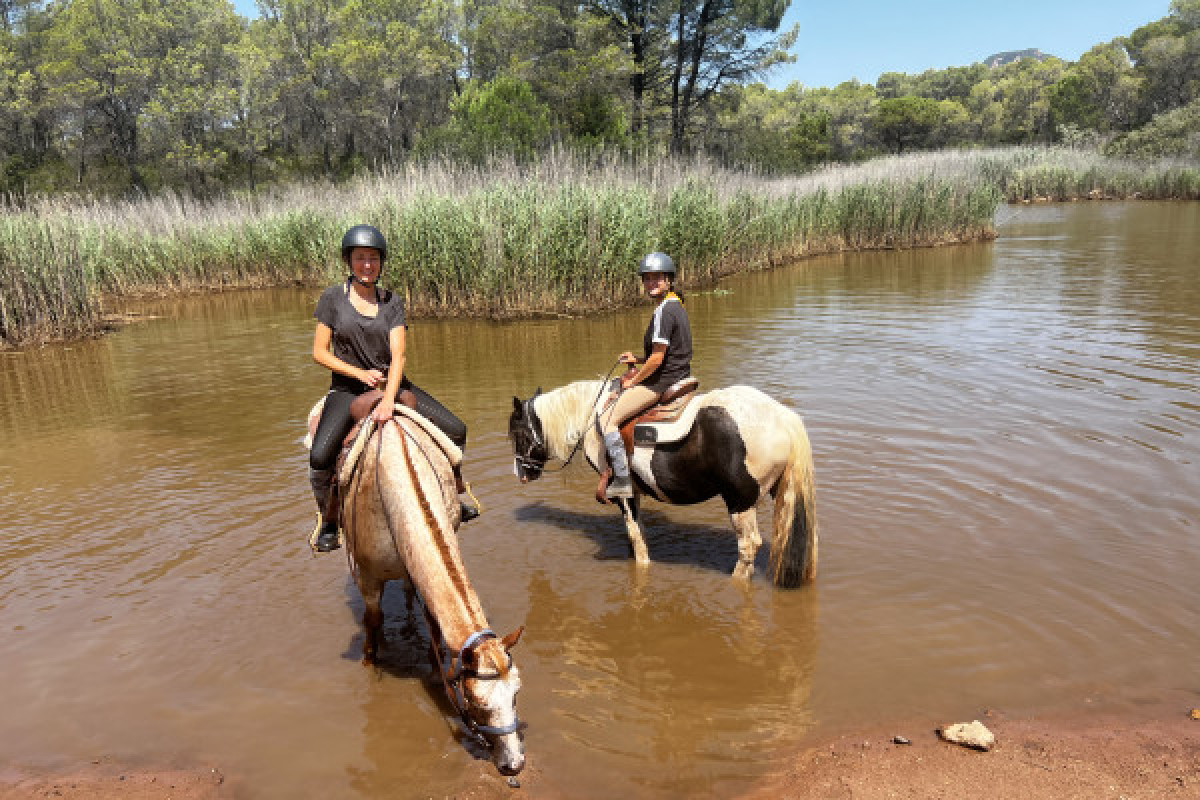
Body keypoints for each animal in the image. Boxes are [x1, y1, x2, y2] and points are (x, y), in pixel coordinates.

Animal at [305, 397, 525, 776]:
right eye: (477, 702)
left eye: (515, 694)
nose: (514, 764)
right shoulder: (367, 579)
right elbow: (372, 623)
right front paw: (370, 664)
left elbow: (434, 629)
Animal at [508, 379, 818, 587]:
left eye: (517, 433)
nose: (522, 474)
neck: (593, 417)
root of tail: (784, 417)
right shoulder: (635, 493)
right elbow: (635, 534)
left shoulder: (623, 492)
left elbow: (636, 535)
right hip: (779, 492)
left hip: (739, 501)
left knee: (749, 545)